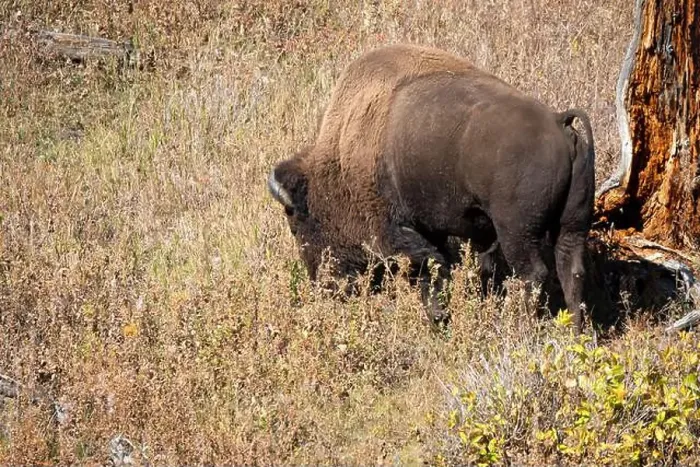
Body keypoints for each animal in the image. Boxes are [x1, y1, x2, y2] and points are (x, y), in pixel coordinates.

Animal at [267, 44, 595, 333]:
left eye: (296, 225)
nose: (323, 285)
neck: (341, 158)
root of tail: (558, 121)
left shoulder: (395, 232)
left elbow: (430, 266)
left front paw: (438, 317)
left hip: (517, 232)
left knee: (533, 274)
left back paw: (520, 328)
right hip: (572, 225)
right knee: (572, 269)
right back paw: (575, 333)